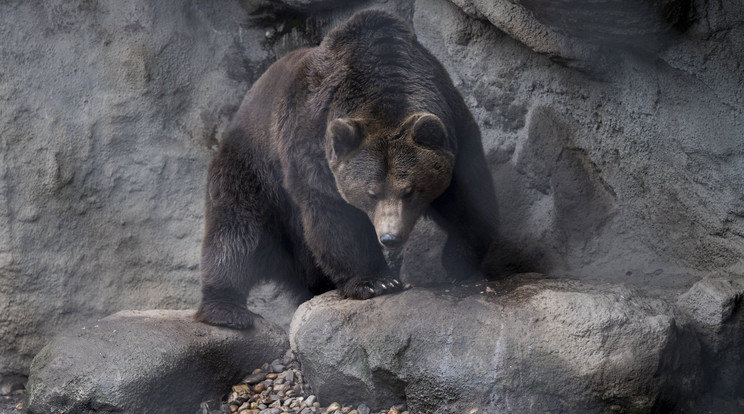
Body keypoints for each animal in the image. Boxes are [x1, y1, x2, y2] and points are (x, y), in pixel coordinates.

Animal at [198, 9, 500, 330]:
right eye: (371, 192)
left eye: (409, 191)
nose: (390, 237)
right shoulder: (314, 144)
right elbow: (336, 217)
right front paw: (375, 282)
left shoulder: (452, 126)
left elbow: (466, 198)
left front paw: (457, 261)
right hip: (254, 170)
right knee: (236, 233)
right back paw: (228, 309)